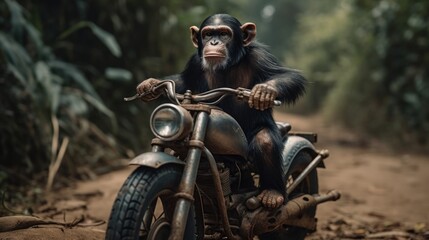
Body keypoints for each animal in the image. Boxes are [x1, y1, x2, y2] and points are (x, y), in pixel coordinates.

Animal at [137, 13, 304, 208]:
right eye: (208, 34)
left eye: (224, 34)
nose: (214, 42)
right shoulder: (194, 62)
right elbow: (184, 81)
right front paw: (151, 84)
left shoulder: (260, 56)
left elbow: (289, 76)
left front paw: (265, 91)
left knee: (266, 141)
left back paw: (273, 193)